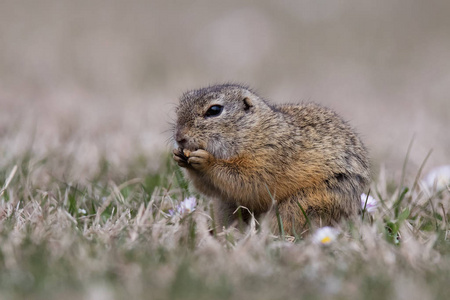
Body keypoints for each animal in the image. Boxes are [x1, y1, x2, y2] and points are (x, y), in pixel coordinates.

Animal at [172, 83, 370, 236]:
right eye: (178, 108)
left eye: (214, 110)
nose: (179, 137)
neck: (254, 131)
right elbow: (209, 188)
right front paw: (179, 157)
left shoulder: (269, 156)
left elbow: (247, 180)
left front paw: (206, 161)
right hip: (226, 207)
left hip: (306, 204)